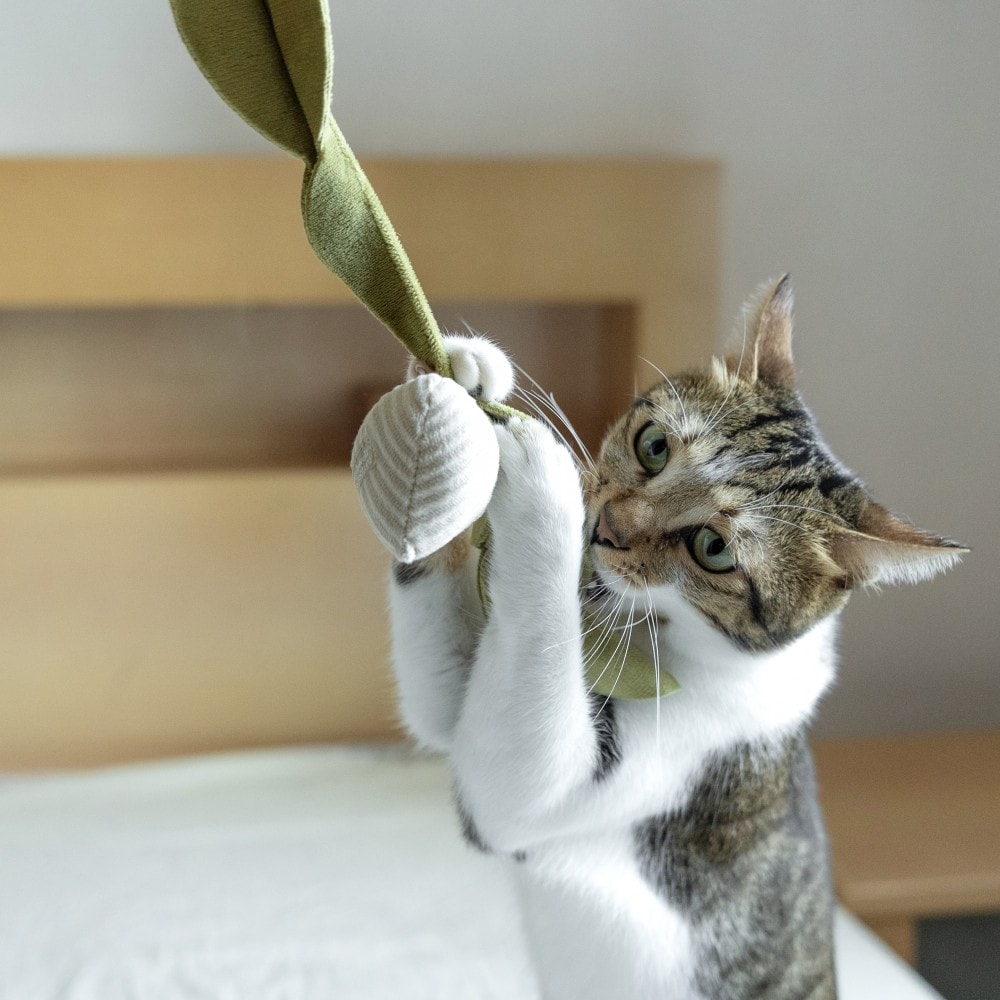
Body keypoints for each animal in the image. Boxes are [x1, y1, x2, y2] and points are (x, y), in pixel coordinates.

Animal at [386, 276, 964, 1000]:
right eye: (654, 446)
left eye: (714, 548)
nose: (604, 527)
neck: (646, 629)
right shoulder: (460, 704)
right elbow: (442, 705)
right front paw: (460, 372)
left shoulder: (612, 775)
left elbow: (515, 763)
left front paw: (543, 480)